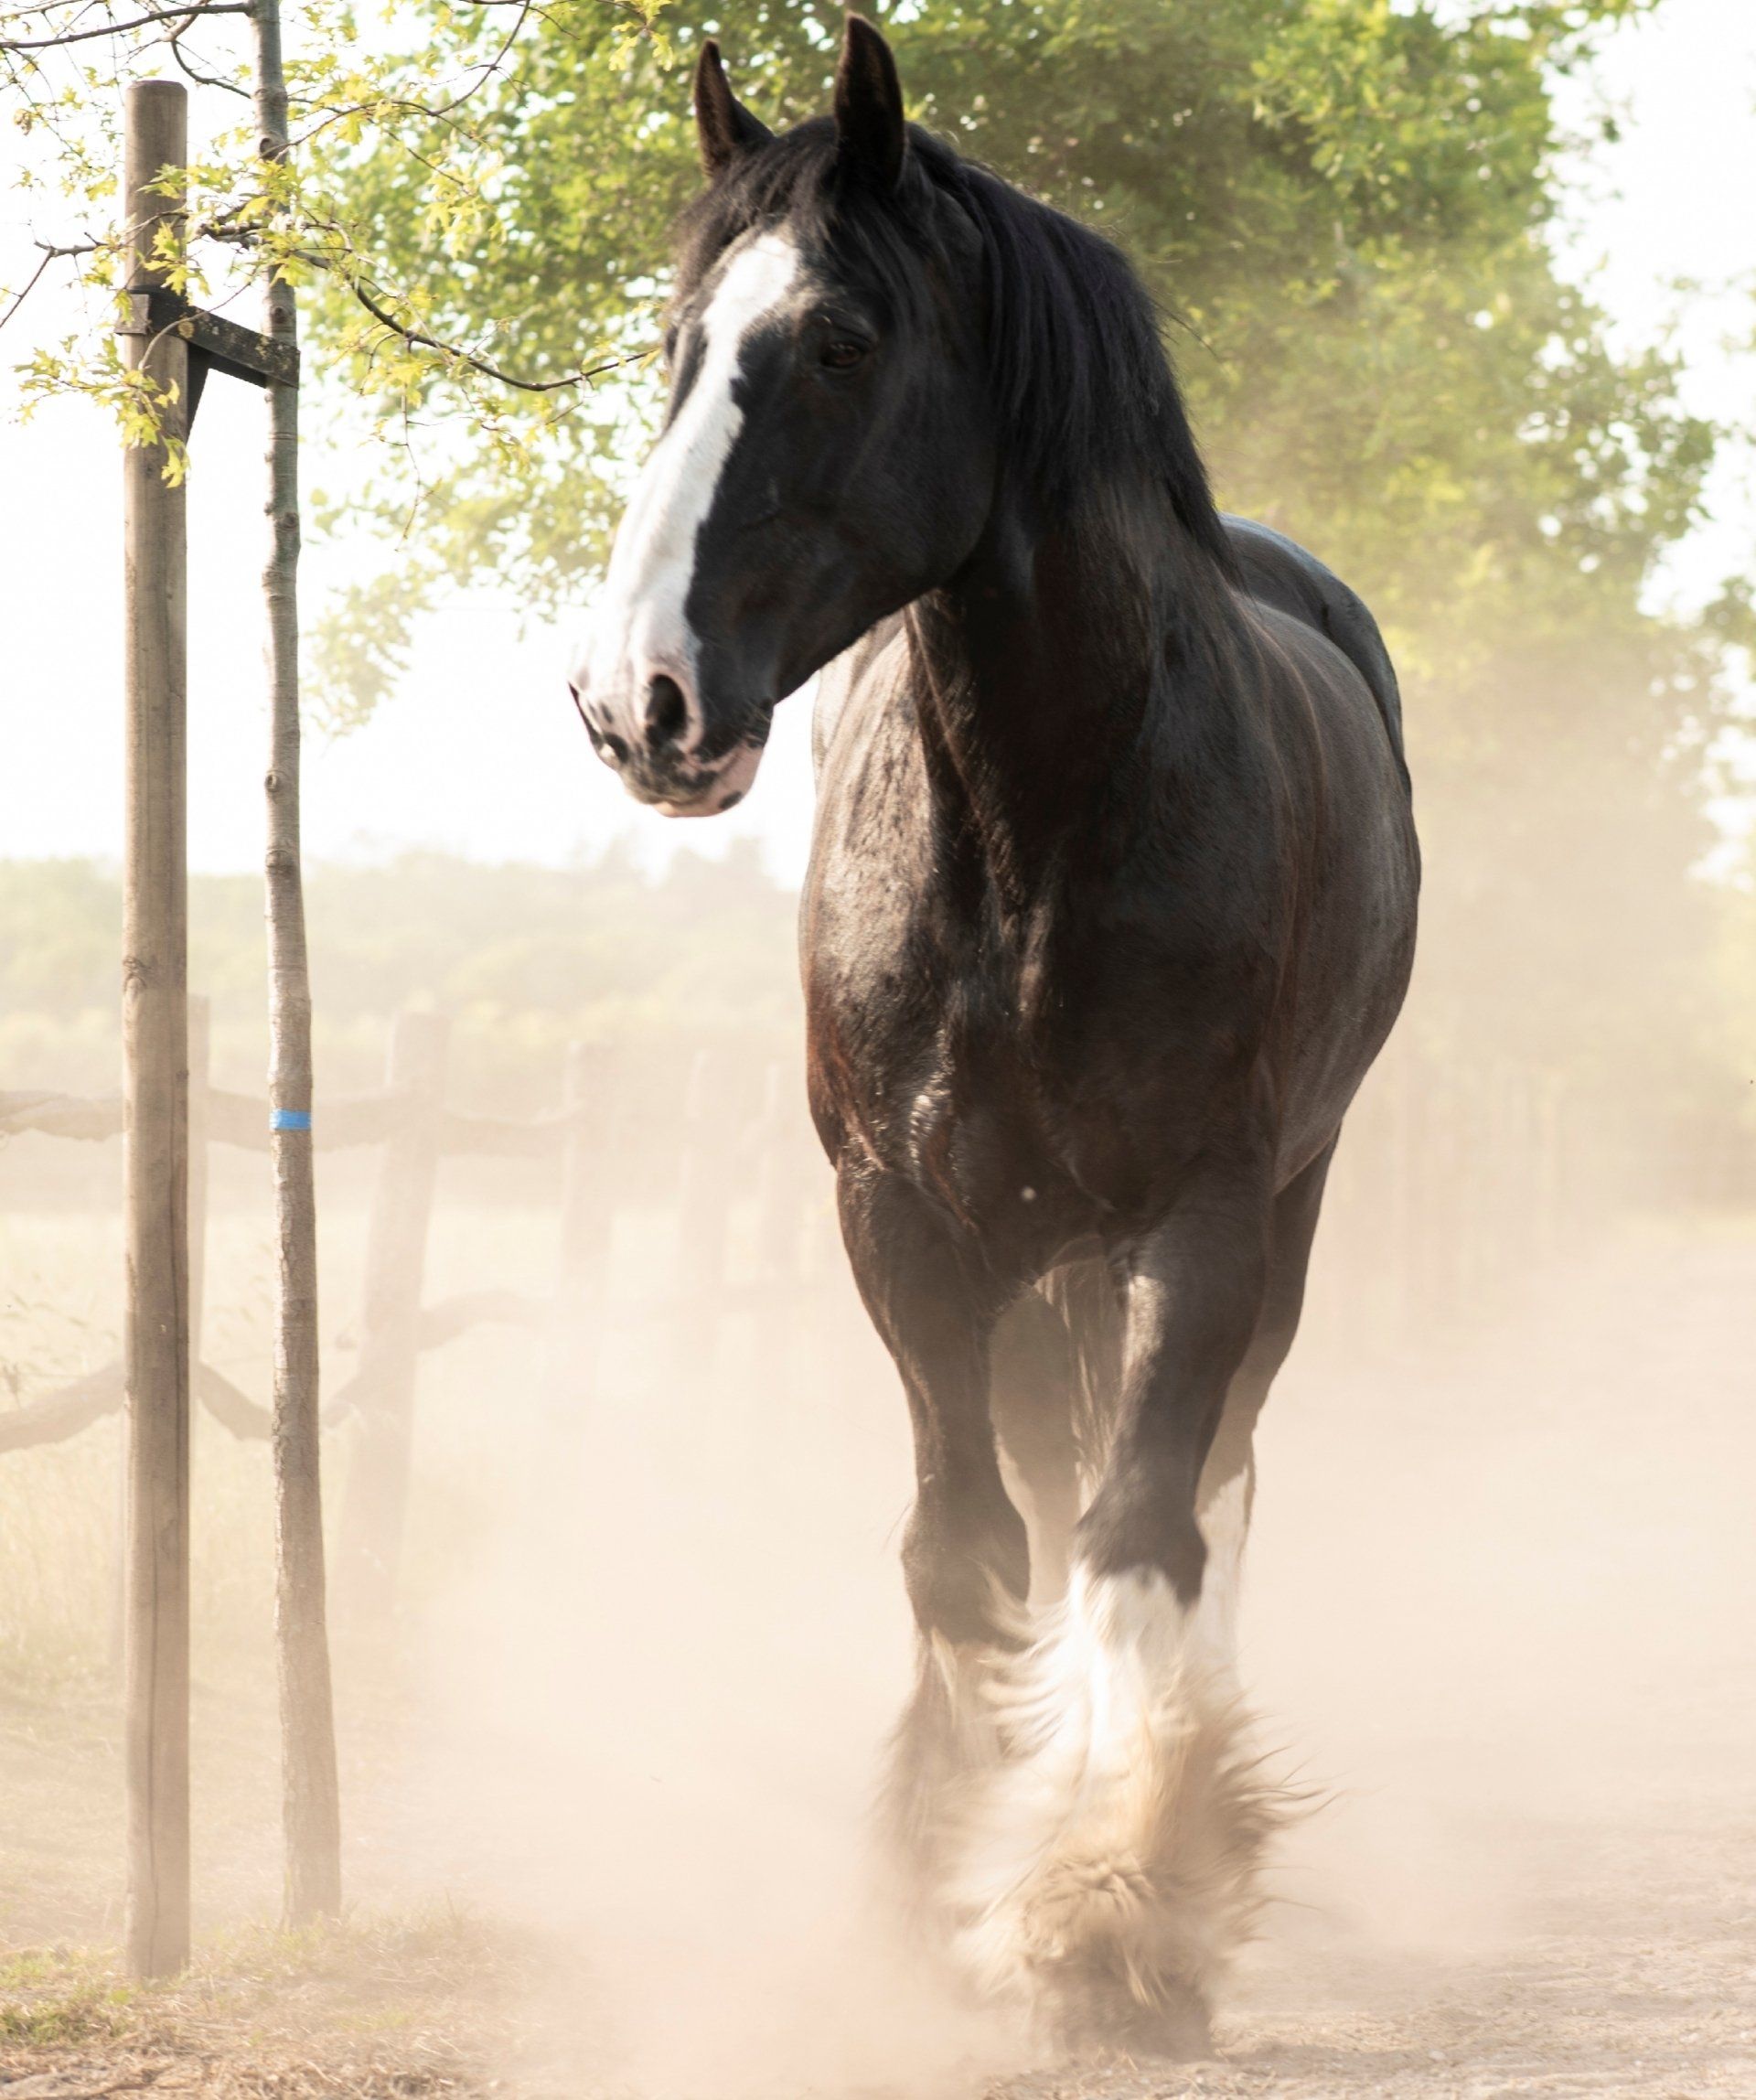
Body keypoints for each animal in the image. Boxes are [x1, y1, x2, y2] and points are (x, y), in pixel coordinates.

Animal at [569, 16, 1419, 2054]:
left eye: (839, 339)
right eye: (678, 334)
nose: (639, 702)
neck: (1035, 827)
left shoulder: (1201, 1224)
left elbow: (1140, 1528)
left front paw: (1106, 1904)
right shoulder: (904, 1220)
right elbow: (966, 1540)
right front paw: (931, 1868)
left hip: (1272, 1220)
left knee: (1214, 1481)